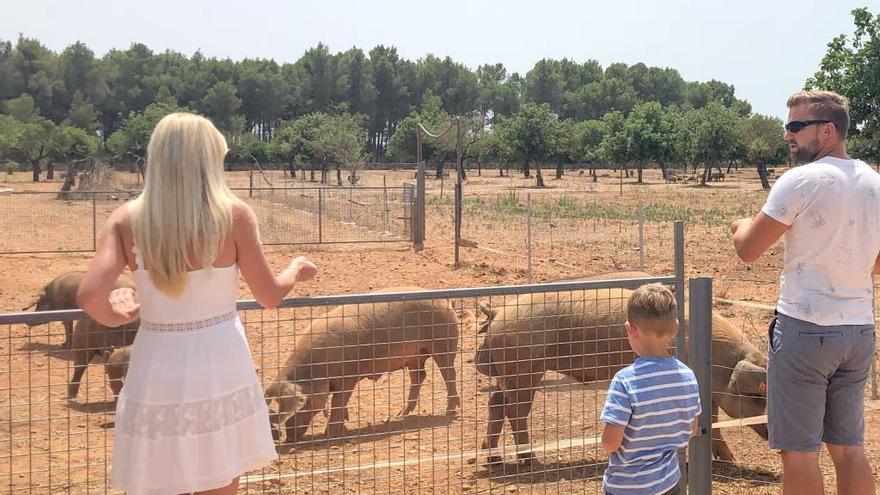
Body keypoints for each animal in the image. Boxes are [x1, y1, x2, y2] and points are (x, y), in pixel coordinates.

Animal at [264, 288, 460, 444]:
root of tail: (445, 301)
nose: (288, 438)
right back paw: (401, 414)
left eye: (300, 403)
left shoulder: (349, 375)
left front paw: (331, 434)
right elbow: (338, 404)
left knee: (450, 374)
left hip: (443, 342)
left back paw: (449, 411)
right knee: (420, 376)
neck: (317, 369)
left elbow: (338, 402)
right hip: (415, 356)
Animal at [470, 280, 768, 466]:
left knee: (496, 404)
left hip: (510, 373)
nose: (769, 432)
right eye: (756, 397)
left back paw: (494, 459)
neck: (718, 361)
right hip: (524, 368)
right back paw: (530, 460)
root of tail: (497, 314)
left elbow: (714, 422)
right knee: (515, 412)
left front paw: (730, 460)